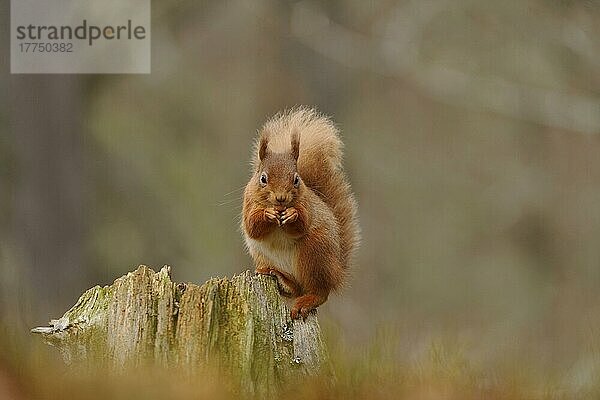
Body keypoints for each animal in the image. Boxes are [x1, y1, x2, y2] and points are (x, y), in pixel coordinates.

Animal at [241, 107, 358, 318]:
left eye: (296, 179)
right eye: (263, 178)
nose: (281, 198)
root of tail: (337, 272)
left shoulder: (307, 206)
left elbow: (302, 224)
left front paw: (292, 215)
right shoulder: (248, 203)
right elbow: (252, 226)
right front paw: (268, 214)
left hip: (314, 253)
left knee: (319, 292)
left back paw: (307, 300)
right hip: (264, 256)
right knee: (296, 289)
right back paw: (281, 279)